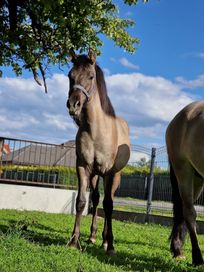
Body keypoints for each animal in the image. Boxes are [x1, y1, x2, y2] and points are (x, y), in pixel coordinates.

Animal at [67, 49, 131, 255]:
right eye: (70, 75)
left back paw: (104, 240)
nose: (73, 105)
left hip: (114, 176)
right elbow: (81, 201)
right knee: (95, 199)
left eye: (91, 76)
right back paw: (94, 236)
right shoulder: (82, 167)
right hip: (95, 175)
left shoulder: (109, 173)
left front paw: (110, 245)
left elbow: (109, 206)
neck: (96, 131)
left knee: (108, 200)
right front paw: (74, 240)